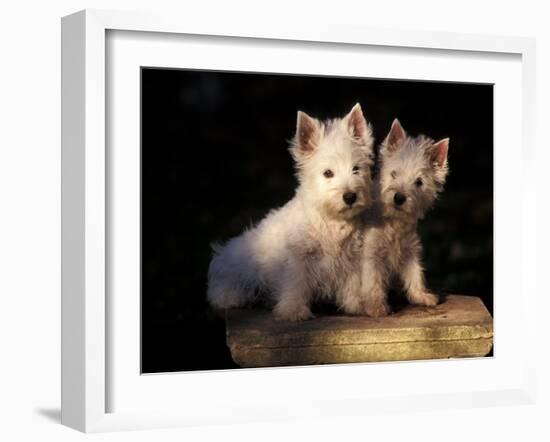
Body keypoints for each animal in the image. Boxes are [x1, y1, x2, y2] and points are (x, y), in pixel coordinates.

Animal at [209, 104, 378, 322]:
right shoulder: (298, 259)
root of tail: (221, 252)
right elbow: (296, 284)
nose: (350, 196)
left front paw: (357, 305)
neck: (330, 220)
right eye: (328, 173)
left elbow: (352, 284)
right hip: (235, 271)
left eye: (356, 169)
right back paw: (234, 298)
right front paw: (294, 311)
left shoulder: (350, 257)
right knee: (222, 291)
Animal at [360, 119, 450, 316]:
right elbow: (373, 280)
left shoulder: (410, 249)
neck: (395, 223)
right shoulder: (372, 253)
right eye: (394, 173)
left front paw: (422, 295)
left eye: (419, 182)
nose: (399, 197)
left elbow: (415, 273)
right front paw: (377, 306)